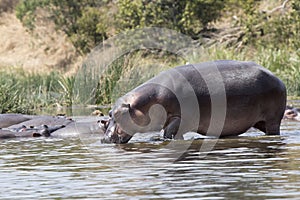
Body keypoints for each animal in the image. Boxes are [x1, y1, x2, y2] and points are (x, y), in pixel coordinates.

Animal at [104, 60, 288, 143]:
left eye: (119, 114)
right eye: (110, 114)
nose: (104, 139)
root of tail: (277, 78)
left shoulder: (179, 117)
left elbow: (168, 132)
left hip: (273, 119)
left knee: (273, 130)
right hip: (259, 121)